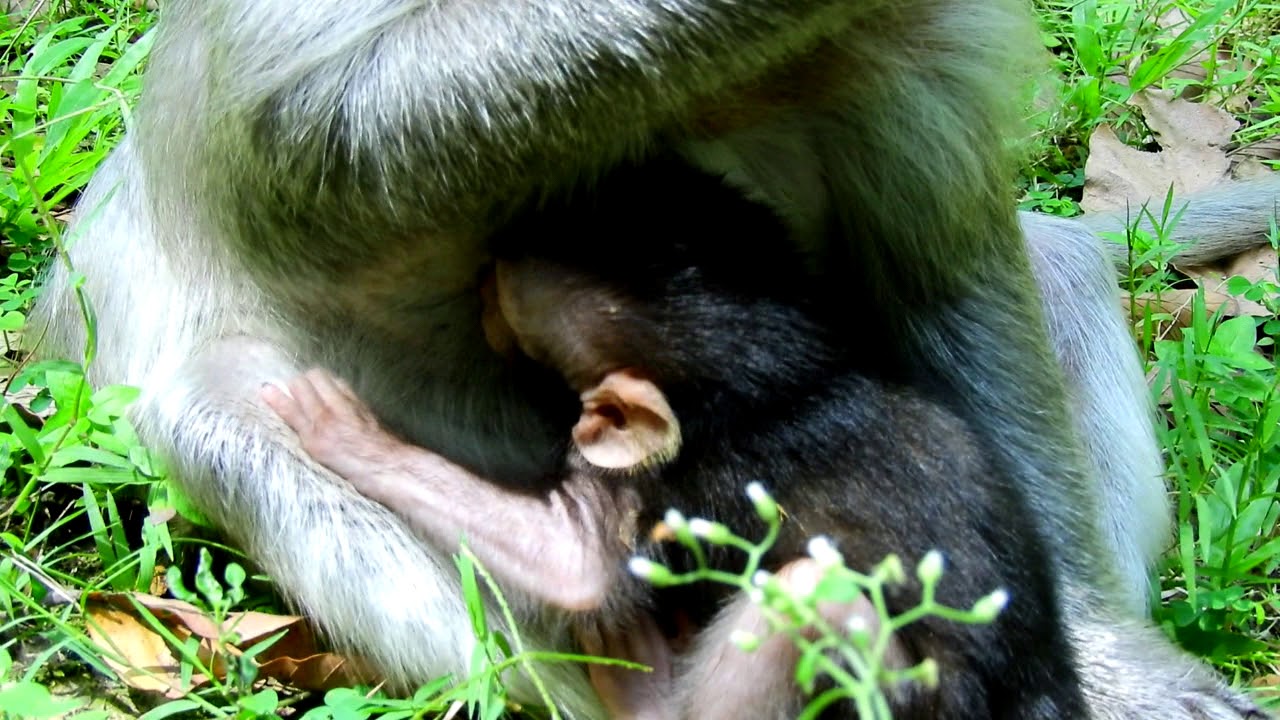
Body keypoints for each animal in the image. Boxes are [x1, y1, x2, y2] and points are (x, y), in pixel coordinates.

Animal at [264, 159, 1088, 719]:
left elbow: (578, 565)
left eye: (501, 291)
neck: (790, 378)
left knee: (813, 600)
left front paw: (344, 432)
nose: (486, 257)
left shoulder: (678, 482)